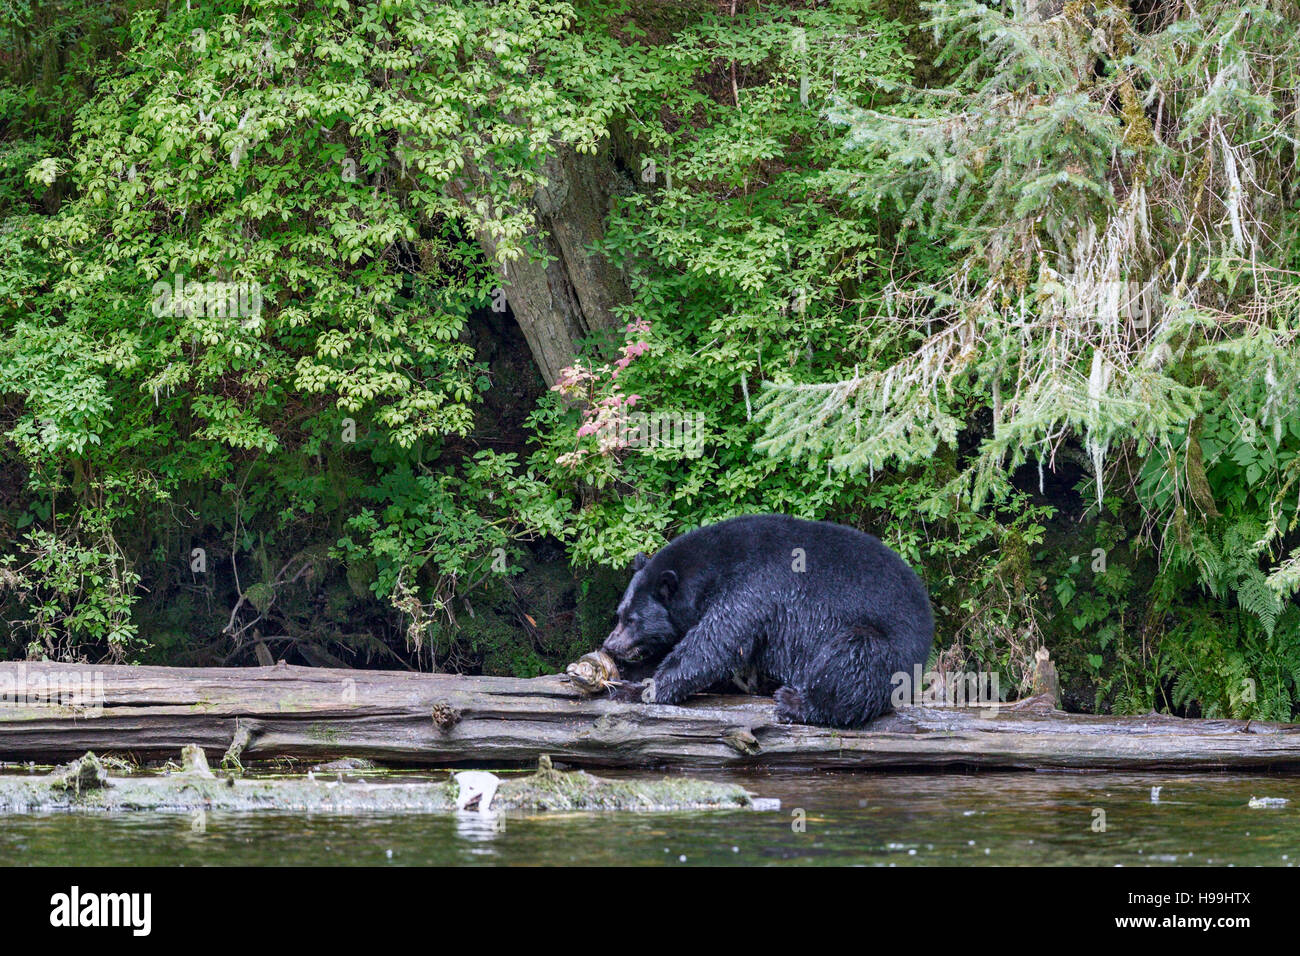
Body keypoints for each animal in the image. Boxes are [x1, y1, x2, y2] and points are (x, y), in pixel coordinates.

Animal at [603, 515, 930, 723]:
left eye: (632, 620)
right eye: (620, 614)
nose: (609, 645)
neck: (708, 571)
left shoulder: (753, 587)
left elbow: (714, 643)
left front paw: (641, 689)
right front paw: (627, 670)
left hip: (884, 645)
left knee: (853, 659)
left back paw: (794, 702)